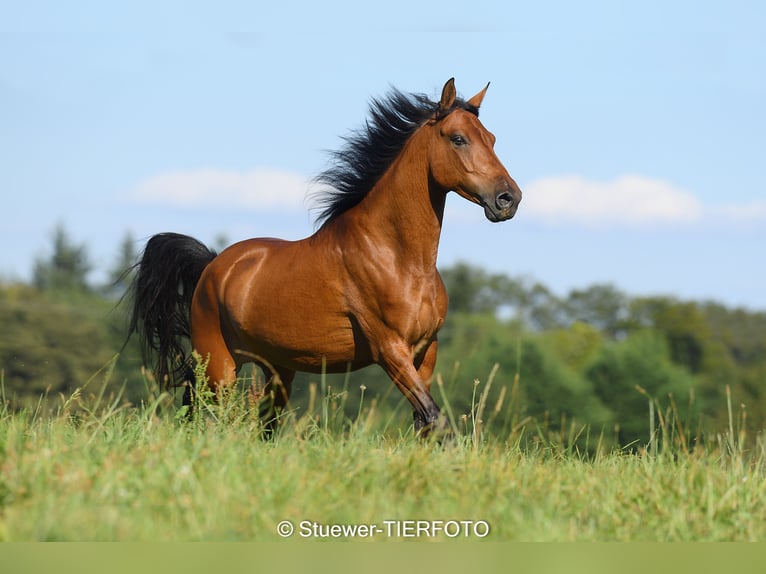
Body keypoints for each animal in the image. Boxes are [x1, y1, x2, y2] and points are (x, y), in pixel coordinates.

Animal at [129, 77, 520, 436]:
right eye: (458, 138)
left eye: (492, 139)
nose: (508, 199)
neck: (399, 260)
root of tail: (212, 266)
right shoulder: (389, 349)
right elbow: (436, 420)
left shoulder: (426, 352)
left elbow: (424, 423)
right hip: (219, 365)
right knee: (199, 409)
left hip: (278, 369)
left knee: (263, 424)